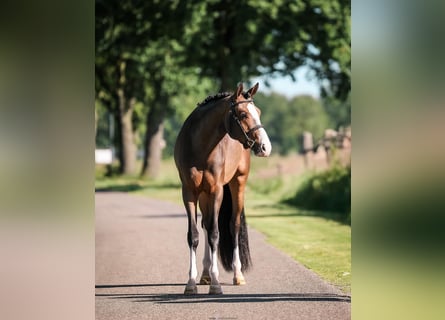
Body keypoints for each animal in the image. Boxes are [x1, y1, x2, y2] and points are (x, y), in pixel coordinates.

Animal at [173, 83, 270, 296]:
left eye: (258, 112)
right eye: (243, 114)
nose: (265, 147)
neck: (199, 146)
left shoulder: (216, 191)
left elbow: (216, 234)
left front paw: (216, 284)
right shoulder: (189, 193)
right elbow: (194, 235)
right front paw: (191, 283)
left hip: (237, 183)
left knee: (233, 225)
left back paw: (237, 274)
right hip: (204, 195)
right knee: (206, 225)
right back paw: (205, 274)